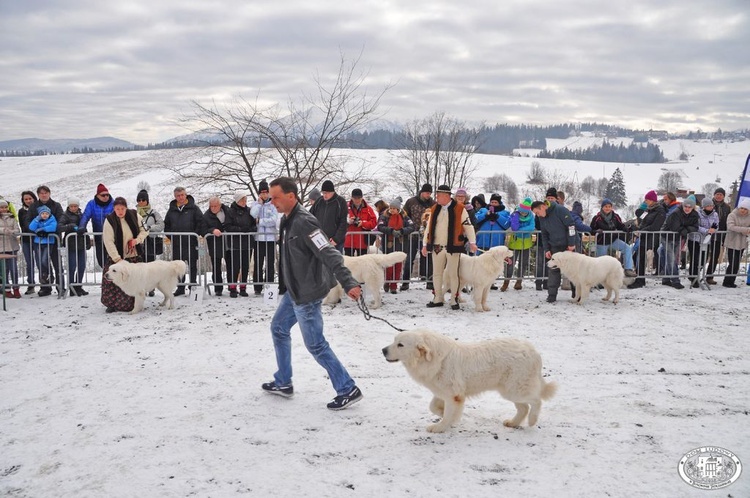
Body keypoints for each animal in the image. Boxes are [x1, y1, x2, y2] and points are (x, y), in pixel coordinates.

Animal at [384, 326, 556, 432]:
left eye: (400, 345)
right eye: (394, 340)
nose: (383, 350)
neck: (434, 359)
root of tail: (533, 351)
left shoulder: (453, 395)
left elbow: (447, 413)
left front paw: (441, 427)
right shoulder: (442, 392)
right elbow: (433, 406)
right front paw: (443, 414)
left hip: (515, 389)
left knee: (536, 401)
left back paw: (532, 420)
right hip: (509, 390)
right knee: (523, 407)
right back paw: (513, 423)